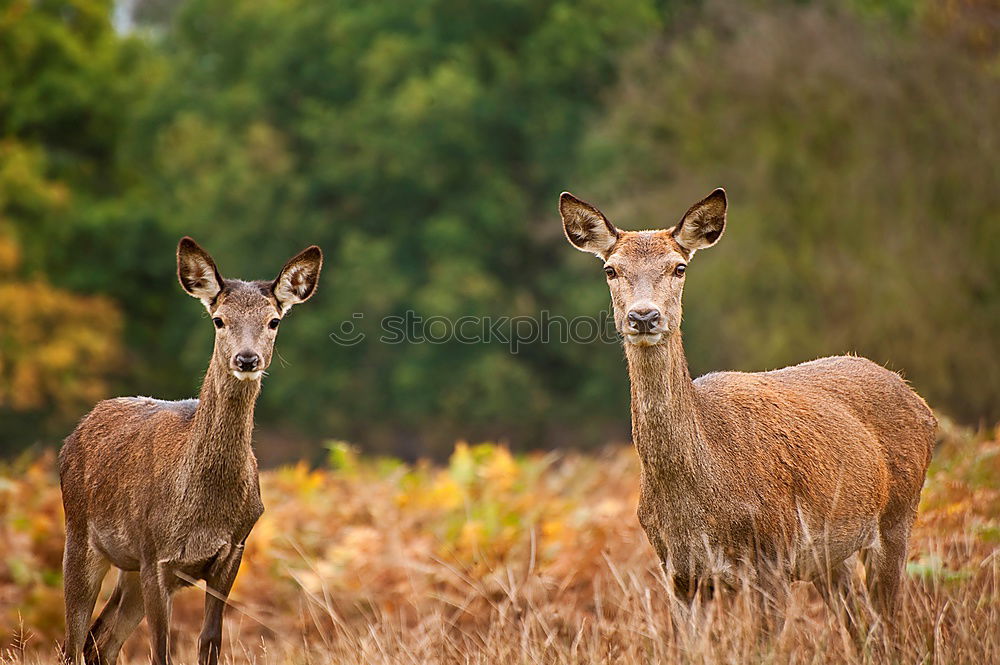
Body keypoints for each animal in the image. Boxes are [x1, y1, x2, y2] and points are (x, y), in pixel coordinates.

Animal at [58, 239, 322, 664]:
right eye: (218, 320)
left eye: (273, 321)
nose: (247, 359)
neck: (203, 509)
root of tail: (76, 433)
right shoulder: (155, 554)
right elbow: (161, 650)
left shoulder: (232, 552)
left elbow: (209, 641)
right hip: (81, 534)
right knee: (73, 641)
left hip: (129, 570)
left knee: (100, 640)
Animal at [560, 188, 932, 624]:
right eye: (611, 270)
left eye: (679, 267)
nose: (644, 316)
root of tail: (917, 399)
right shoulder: (679, 572)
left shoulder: (772, 556)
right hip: (829, 554)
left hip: (898, 514)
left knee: (891, 620)